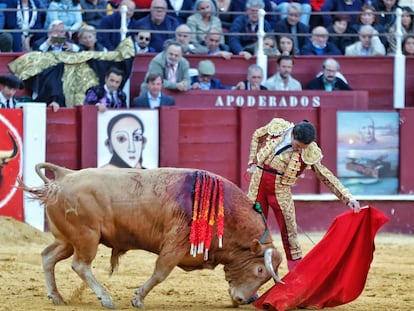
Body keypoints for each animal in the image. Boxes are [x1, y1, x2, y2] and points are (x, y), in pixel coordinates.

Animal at [20, 163, 284, 310]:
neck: (225, 210)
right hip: (87, 237)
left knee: (48, 257)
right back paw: (105, 298)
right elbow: (160, 272)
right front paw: (137, 299)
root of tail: (64, 177)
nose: (243, 299)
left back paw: (57, 297)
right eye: (260, 270)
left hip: (67, 240)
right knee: (80, 265)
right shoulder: (175, 244)